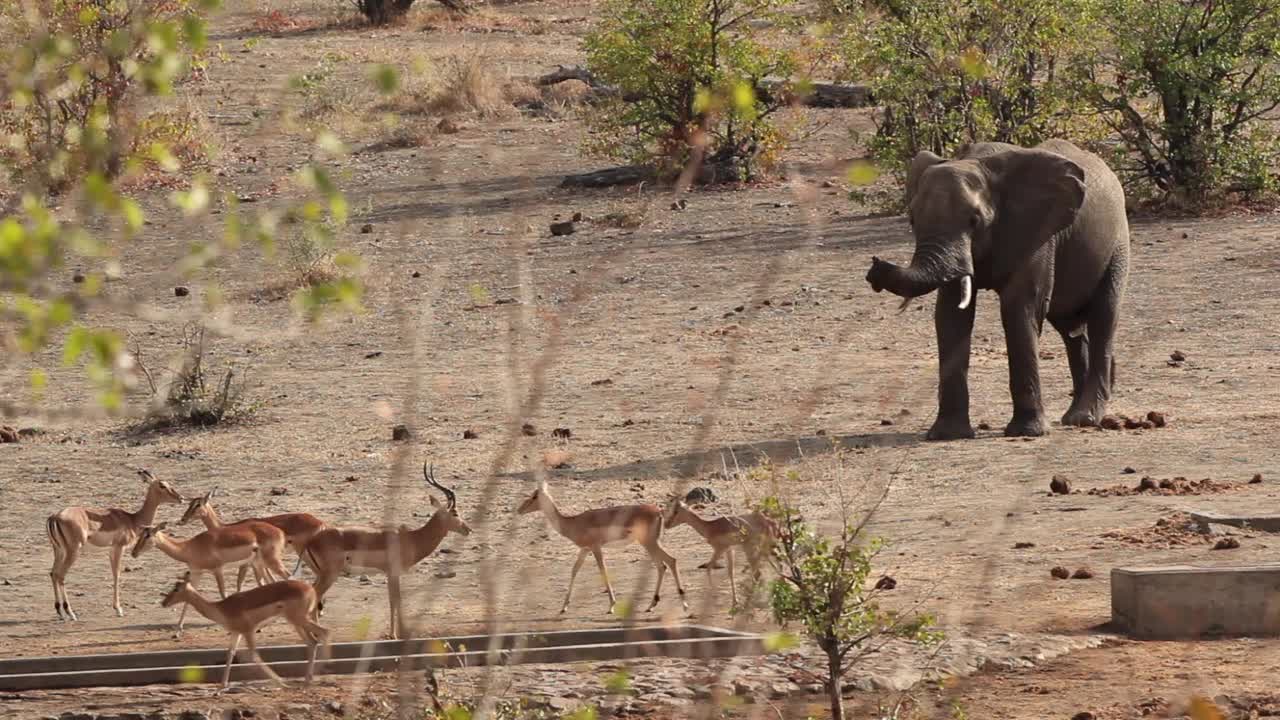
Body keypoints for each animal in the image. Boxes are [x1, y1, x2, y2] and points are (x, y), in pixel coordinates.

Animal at [865, 136, 1126, 435]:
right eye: (912, 220)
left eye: (974, 221)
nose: (875, 267)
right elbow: (951, 315)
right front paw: (948, 434)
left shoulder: (1036, 231)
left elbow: (1019, 309)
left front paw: (1027, 431)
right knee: (1070, 328)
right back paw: (1073, 416)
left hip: (1118, 245)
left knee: (1103, 318)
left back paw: (1085, 418)